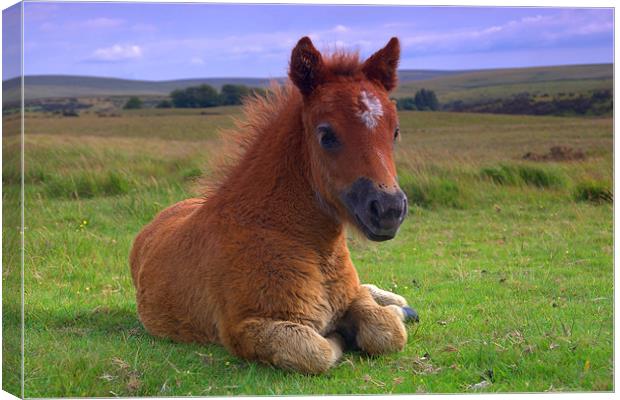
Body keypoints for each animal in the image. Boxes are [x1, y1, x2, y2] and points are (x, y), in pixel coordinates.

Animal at [128, 36, 414, 374]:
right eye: (326, 135)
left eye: (395, 131)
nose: (388, 209)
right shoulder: (245, 328)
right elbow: (316, 350)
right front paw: (340, 334)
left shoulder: (351, 298)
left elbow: (385, 331)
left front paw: (388, 314)